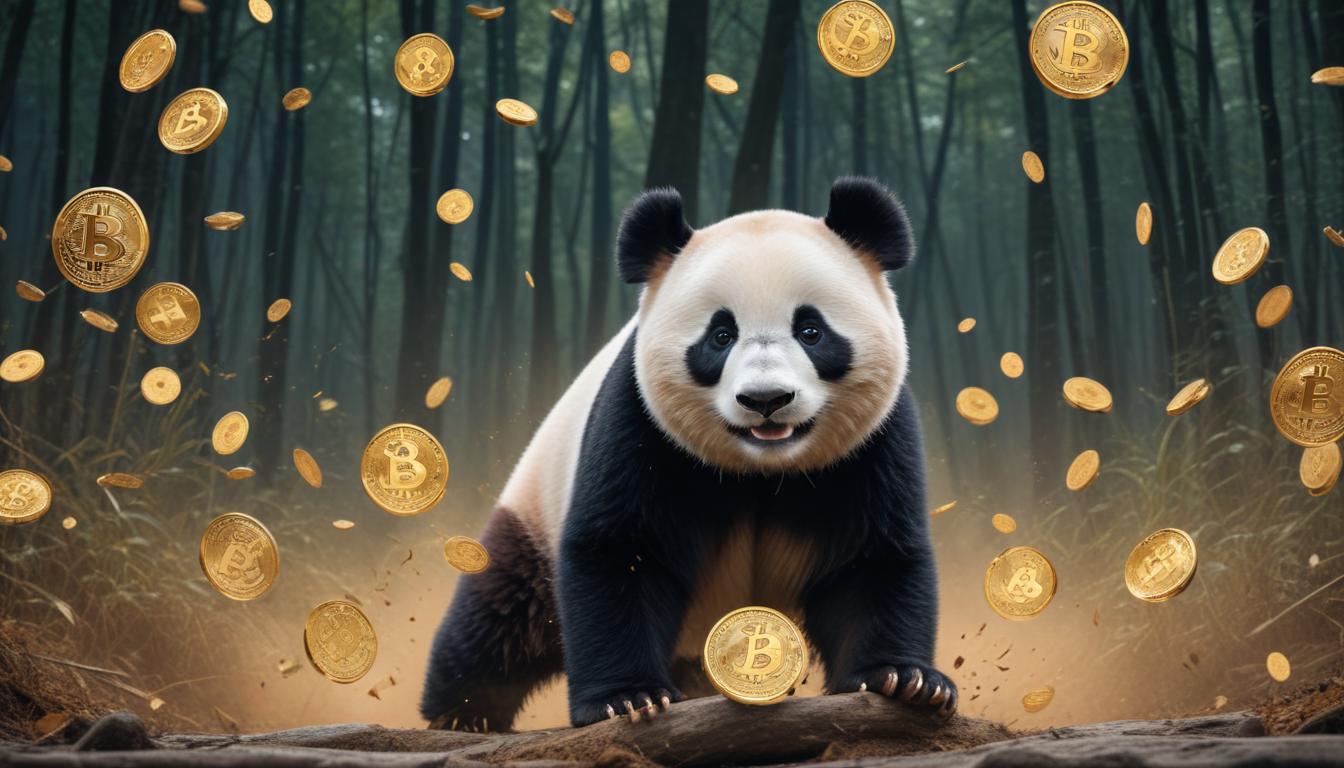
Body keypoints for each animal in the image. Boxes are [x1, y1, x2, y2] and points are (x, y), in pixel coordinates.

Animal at [421, 176, 955, 730]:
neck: (763, 473)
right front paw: (627, 698)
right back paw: (462, 713)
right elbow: (618, 551)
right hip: (535, 508)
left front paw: (904, 681)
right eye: (720, 336)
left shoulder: (872, 446)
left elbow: (873, 559)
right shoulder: (640, 426)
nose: (766, 400)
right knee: (503, 613)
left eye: (811, 331)